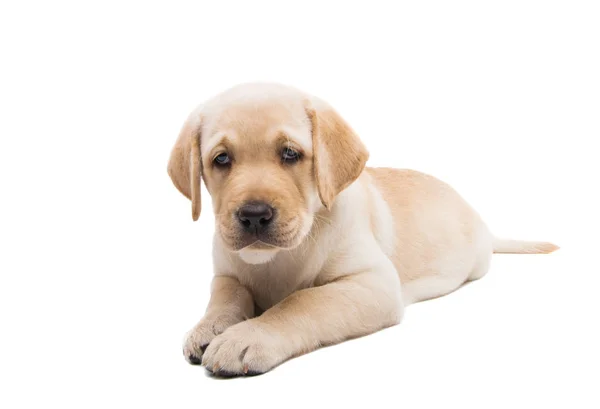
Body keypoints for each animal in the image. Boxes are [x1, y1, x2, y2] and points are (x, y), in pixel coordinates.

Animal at [165, 83, 556, 376]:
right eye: (221, 159)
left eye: (290, 154)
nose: (254, 215)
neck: (281, 257)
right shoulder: (226, 274)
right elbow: (225, 297)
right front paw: (210, 326)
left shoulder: (373, 282)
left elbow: (302, 301)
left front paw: (248, 335)